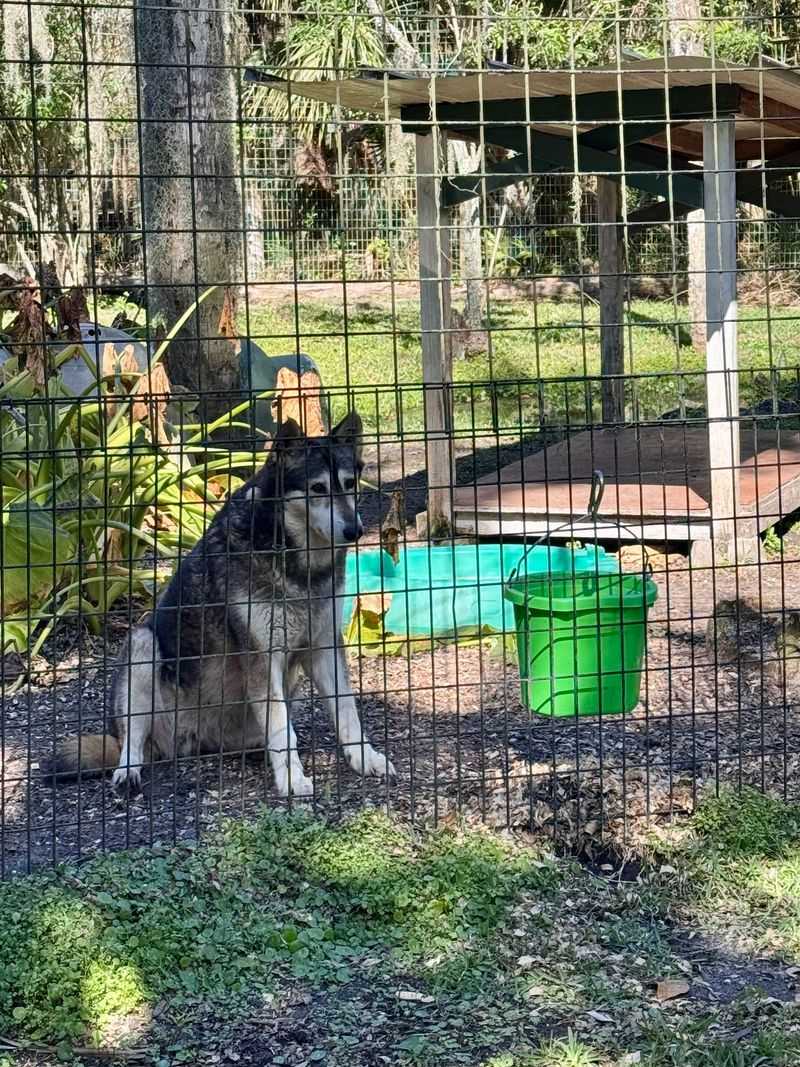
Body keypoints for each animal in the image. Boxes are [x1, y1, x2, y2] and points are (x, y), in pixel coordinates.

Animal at [42, 411, 396, 797]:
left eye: (349, 483)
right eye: (317, 489)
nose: (354, 531)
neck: (295, 563)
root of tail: (189, 741)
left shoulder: (323, 648)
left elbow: (346, 710)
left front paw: (366, 758)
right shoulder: (262, 658)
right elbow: (282, 730)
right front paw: (292, 779)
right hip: (142, 645)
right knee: (131, 740)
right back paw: (127, 771)